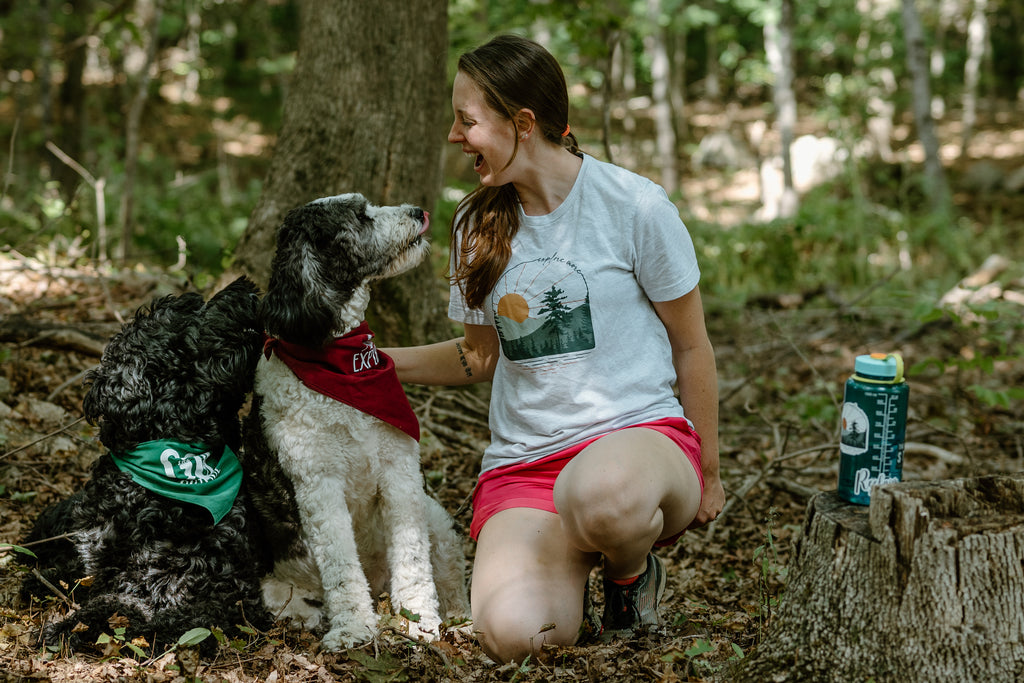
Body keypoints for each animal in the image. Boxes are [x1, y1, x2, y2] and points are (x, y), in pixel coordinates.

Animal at [19, 278, 272, 651]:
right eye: (191, 313)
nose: (247, 284)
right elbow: (76, 571)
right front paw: (44, 582)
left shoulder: (199, 596)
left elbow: (118, 610)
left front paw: (64, 627)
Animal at [245, 193, 468, 651]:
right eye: (361, 217)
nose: (418, 211)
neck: (342, 366)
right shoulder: (318, 485)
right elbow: (342, 565)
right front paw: (352, 627)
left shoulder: (400, 471)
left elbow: (413, 557)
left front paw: (418, 622)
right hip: (273, 586)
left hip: (436, 518)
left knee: (451, 572)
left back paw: (461, 620)